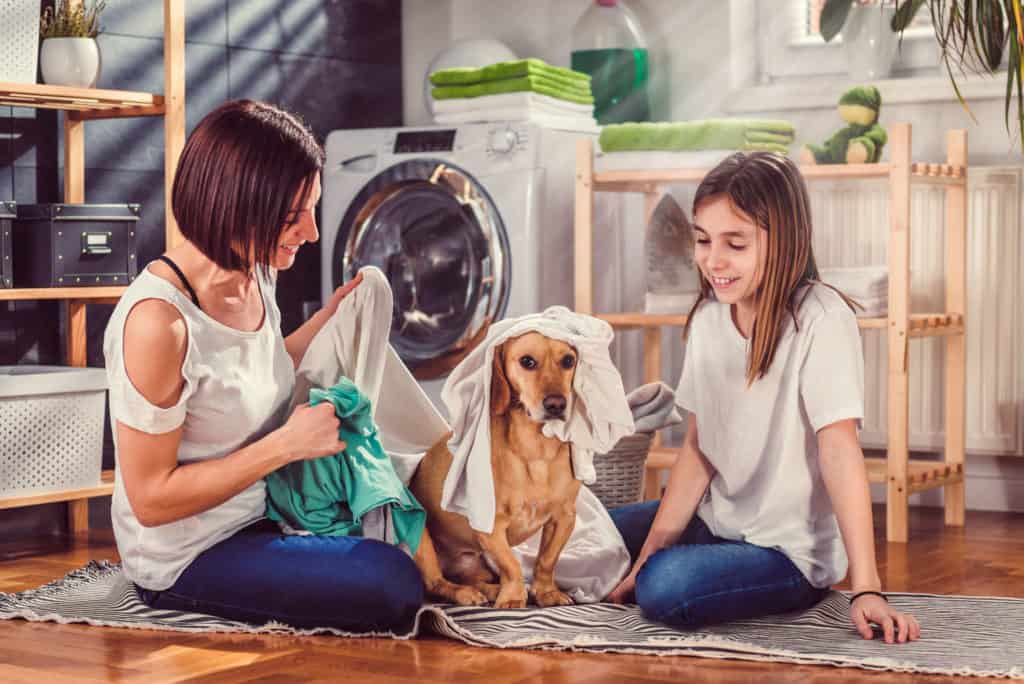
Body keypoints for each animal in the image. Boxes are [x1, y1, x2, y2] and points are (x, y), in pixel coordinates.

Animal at [409, 331, 585, 610]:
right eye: (527, 361)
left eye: (568, 360)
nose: (557, 404)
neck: (535, 449)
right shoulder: (490, 525)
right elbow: (511, 565)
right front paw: (513, 597)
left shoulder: (564, 517)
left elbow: (546, 560)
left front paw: (546, 592)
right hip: (420, 536)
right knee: (436, 583)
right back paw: (465, 593)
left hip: (478, 563)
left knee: (474, 578)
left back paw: (489, 590)